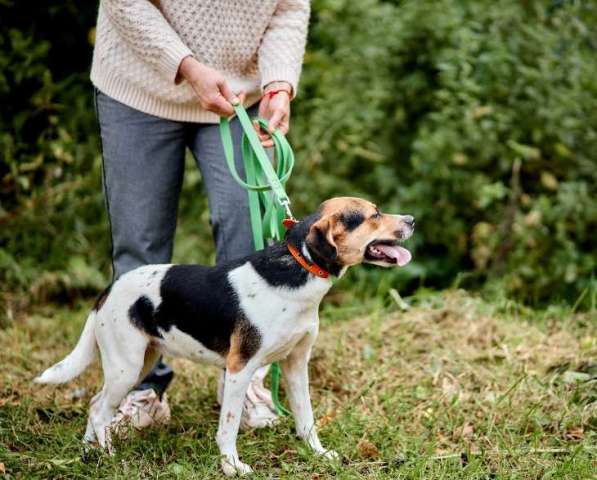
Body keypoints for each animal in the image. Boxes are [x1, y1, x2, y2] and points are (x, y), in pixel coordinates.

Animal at [35, 196, 412, 476]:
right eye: (374, 216)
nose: (411, 220)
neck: (297, 269)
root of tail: (108, 290)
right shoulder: (239, 369)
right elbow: (228, 428)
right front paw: (232, 466)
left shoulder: (296, 365)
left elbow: (306, 419)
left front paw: (318, 454)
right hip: (126, 368)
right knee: (100, 411)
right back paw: (110, 457)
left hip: (140, 362)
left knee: (94, 405)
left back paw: (90, 453)